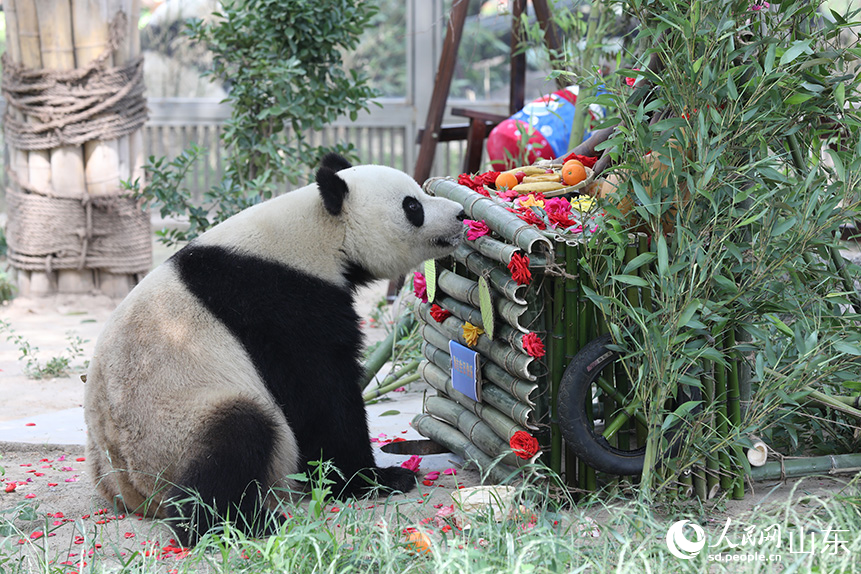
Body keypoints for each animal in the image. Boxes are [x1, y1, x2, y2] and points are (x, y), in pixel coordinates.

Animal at [84, 154, 466, 548]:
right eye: (412, 206)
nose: (460, 214)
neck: (319, 229)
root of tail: (132, 493)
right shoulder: (279, 302)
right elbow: (320, 393)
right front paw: (371, 479)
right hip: (173, 429)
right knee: (236, 436)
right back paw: (243, 524)